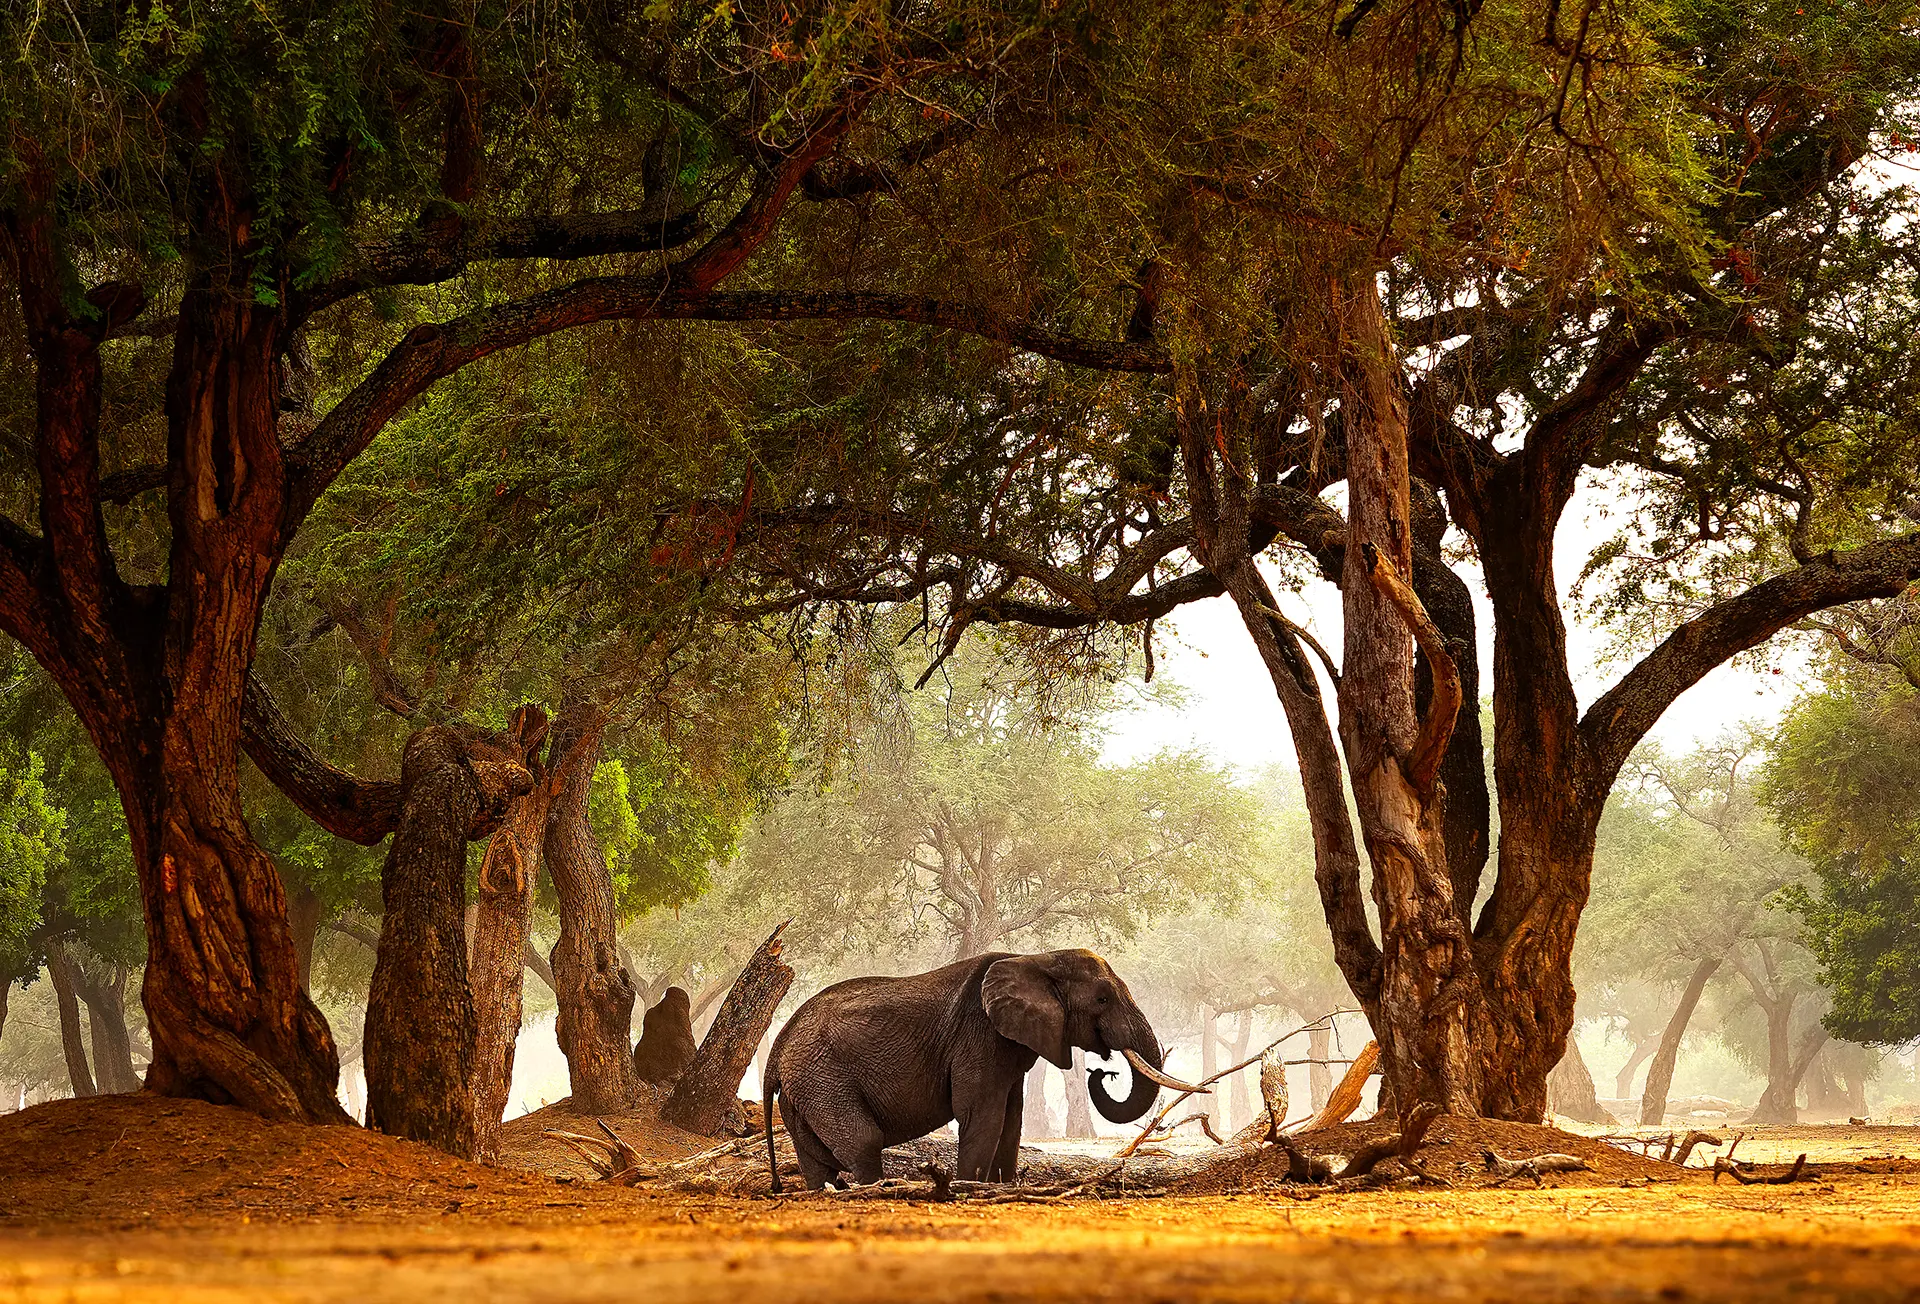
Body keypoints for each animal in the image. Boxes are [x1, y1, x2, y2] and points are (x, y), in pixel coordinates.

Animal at [762, 948, 1198, 1190]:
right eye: (1103, 998)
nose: (1101, 1072)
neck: (1036, 958)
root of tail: (775, 1053)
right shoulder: (980, 1035)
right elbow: (982, 1114)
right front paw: (968, 1186)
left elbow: (1011, 1118)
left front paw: (1000, 1187)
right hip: (822, 1078)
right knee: (864, 1143)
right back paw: (876, 1188)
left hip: (804, 1089)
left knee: (816, 1159)